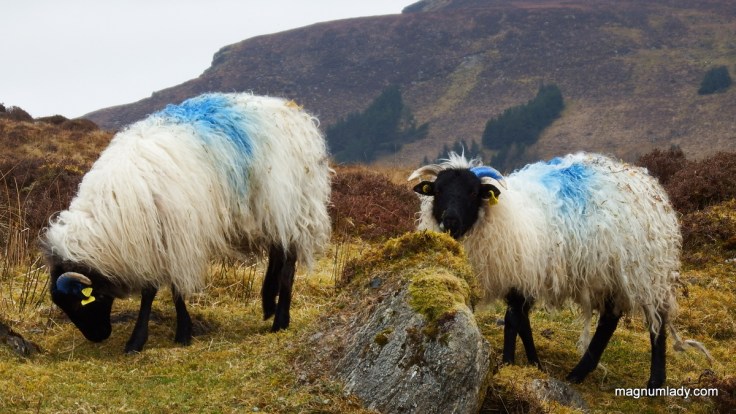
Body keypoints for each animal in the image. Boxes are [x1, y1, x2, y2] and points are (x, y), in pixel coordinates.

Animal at [42, 92, 332, 353]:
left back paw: (280, 319)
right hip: (272, 212)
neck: (112, 210)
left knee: (288, 261)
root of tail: (295, 113)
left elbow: (164, 290)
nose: (98, 337)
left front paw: (159, 337)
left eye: (82, 303)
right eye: (65, 307)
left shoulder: (173, 236)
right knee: (276, 251)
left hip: (292, 203)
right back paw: (268, 304)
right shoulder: (155, 241)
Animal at [409, 152, 711, 389]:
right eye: (437, 191)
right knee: (609, 321)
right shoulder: (521, 278)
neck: (500, 215)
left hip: (645, 271)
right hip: (611, 275)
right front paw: (534, 363)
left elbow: (513, 321)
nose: (450, 221)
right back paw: (580, 373)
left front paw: (509, 364)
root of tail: (648, 182)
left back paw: (654, 381)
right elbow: (522, 322)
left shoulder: (522, 273)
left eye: (472, 192)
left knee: (656, 318)